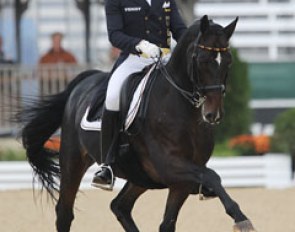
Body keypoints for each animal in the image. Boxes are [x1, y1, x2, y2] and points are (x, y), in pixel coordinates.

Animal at [19, 15, 258, 231]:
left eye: (228, 62)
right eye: (201, 60)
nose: (213, 114)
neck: (182, 109)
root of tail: (84, 82)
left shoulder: (180, 182)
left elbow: (168, 223)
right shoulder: (170, 165)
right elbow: (212, 176)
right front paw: (241, 218)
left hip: (140, 176)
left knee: (120, 206)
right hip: (73, 161)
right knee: (65, 213)